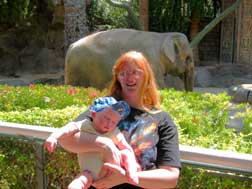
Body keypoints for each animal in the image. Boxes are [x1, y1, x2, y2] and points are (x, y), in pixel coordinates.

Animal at [65, 28, 195, 91]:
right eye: (188, 58)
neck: (163, 36)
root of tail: (71, 46)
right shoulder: (152, 61)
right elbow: (158, 86)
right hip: (78, 68)